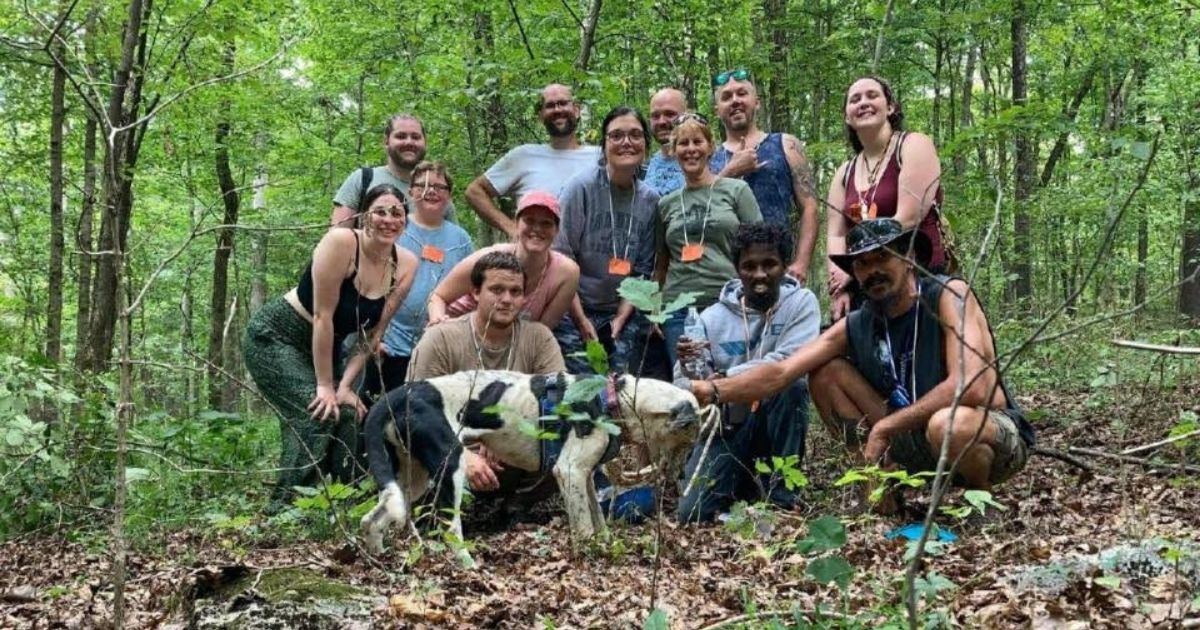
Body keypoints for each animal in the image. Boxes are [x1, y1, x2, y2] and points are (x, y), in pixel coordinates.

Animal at [355, 369, 700, 564]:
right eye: (689, 438)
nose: (682, 475)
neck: (614, 399)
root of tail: (396, 395)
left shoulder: (583, 476)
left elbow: (598, 520)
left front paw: (606, 546)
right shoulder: (570, 471)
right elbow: (585, 528)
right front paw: (592, 558)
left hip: (411, 478)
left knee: (372, 520)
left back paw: (379, 561)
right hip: (451, 467)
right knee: (450, 530)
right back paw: (470, 567)